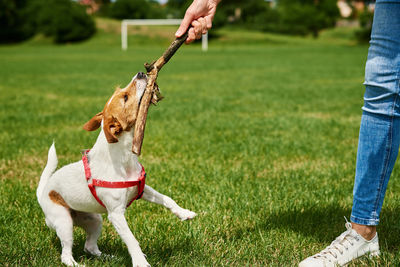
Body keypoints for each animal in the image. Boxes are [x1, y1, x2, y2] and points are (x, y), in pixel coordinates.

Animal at [36, 71, 196, 267]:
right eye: (125, 97)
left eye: (122, 92)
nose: (141, 73)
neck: (124, 158)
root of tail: (43, 191)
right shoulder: (116, 215)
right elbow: (131, 239)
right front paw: (140, 262)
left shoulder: (142, 189)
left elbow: (167, 199)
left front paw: (184, 213)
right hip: (64, 221)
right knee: (66, 253)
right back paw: (76, 263)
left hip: (94, 220)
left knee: (90, 246)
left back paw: (109, 257)